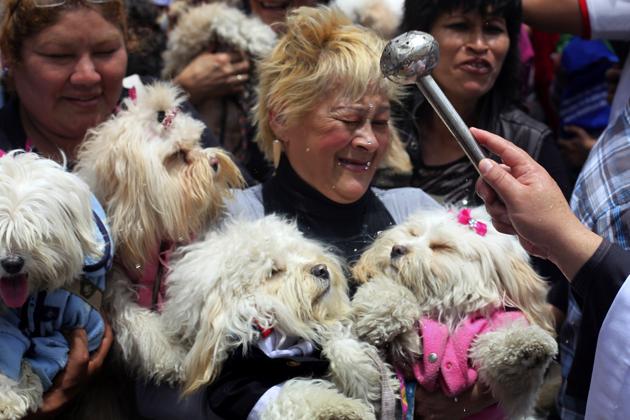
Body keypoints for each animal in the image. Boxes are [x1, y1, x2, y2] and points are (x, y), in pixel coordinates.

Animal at [0, 153, 112, 418]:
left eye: (36, 232)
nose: (12, 263)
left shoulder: (87, 322)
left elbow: (49, 350)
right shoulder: (6, 323)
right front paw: (9, 397)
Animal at [73, 81, 243, 380]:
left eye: (197, 142)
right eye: (177, 155)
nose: (215, 162)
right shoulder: (116, 283)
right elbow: (135, 318)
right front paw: (168, 356)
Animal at [146, 217, 398, 420]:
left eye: (299, 253)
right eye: (273, 272)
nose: (322, 269)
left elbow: (341, 345)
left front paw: (366, 376)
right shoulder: (238, 387)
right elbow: (294, 393)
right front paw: (346, 407)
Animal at [354, 208, 560, 420]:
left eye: (441, 247)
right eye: (413, 233)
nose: (397, 249)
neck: (450, 314)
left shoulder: (517, 397)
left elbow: (512, 371)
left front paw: (527, 344)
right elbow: (392, 295)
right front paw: (382, 309)